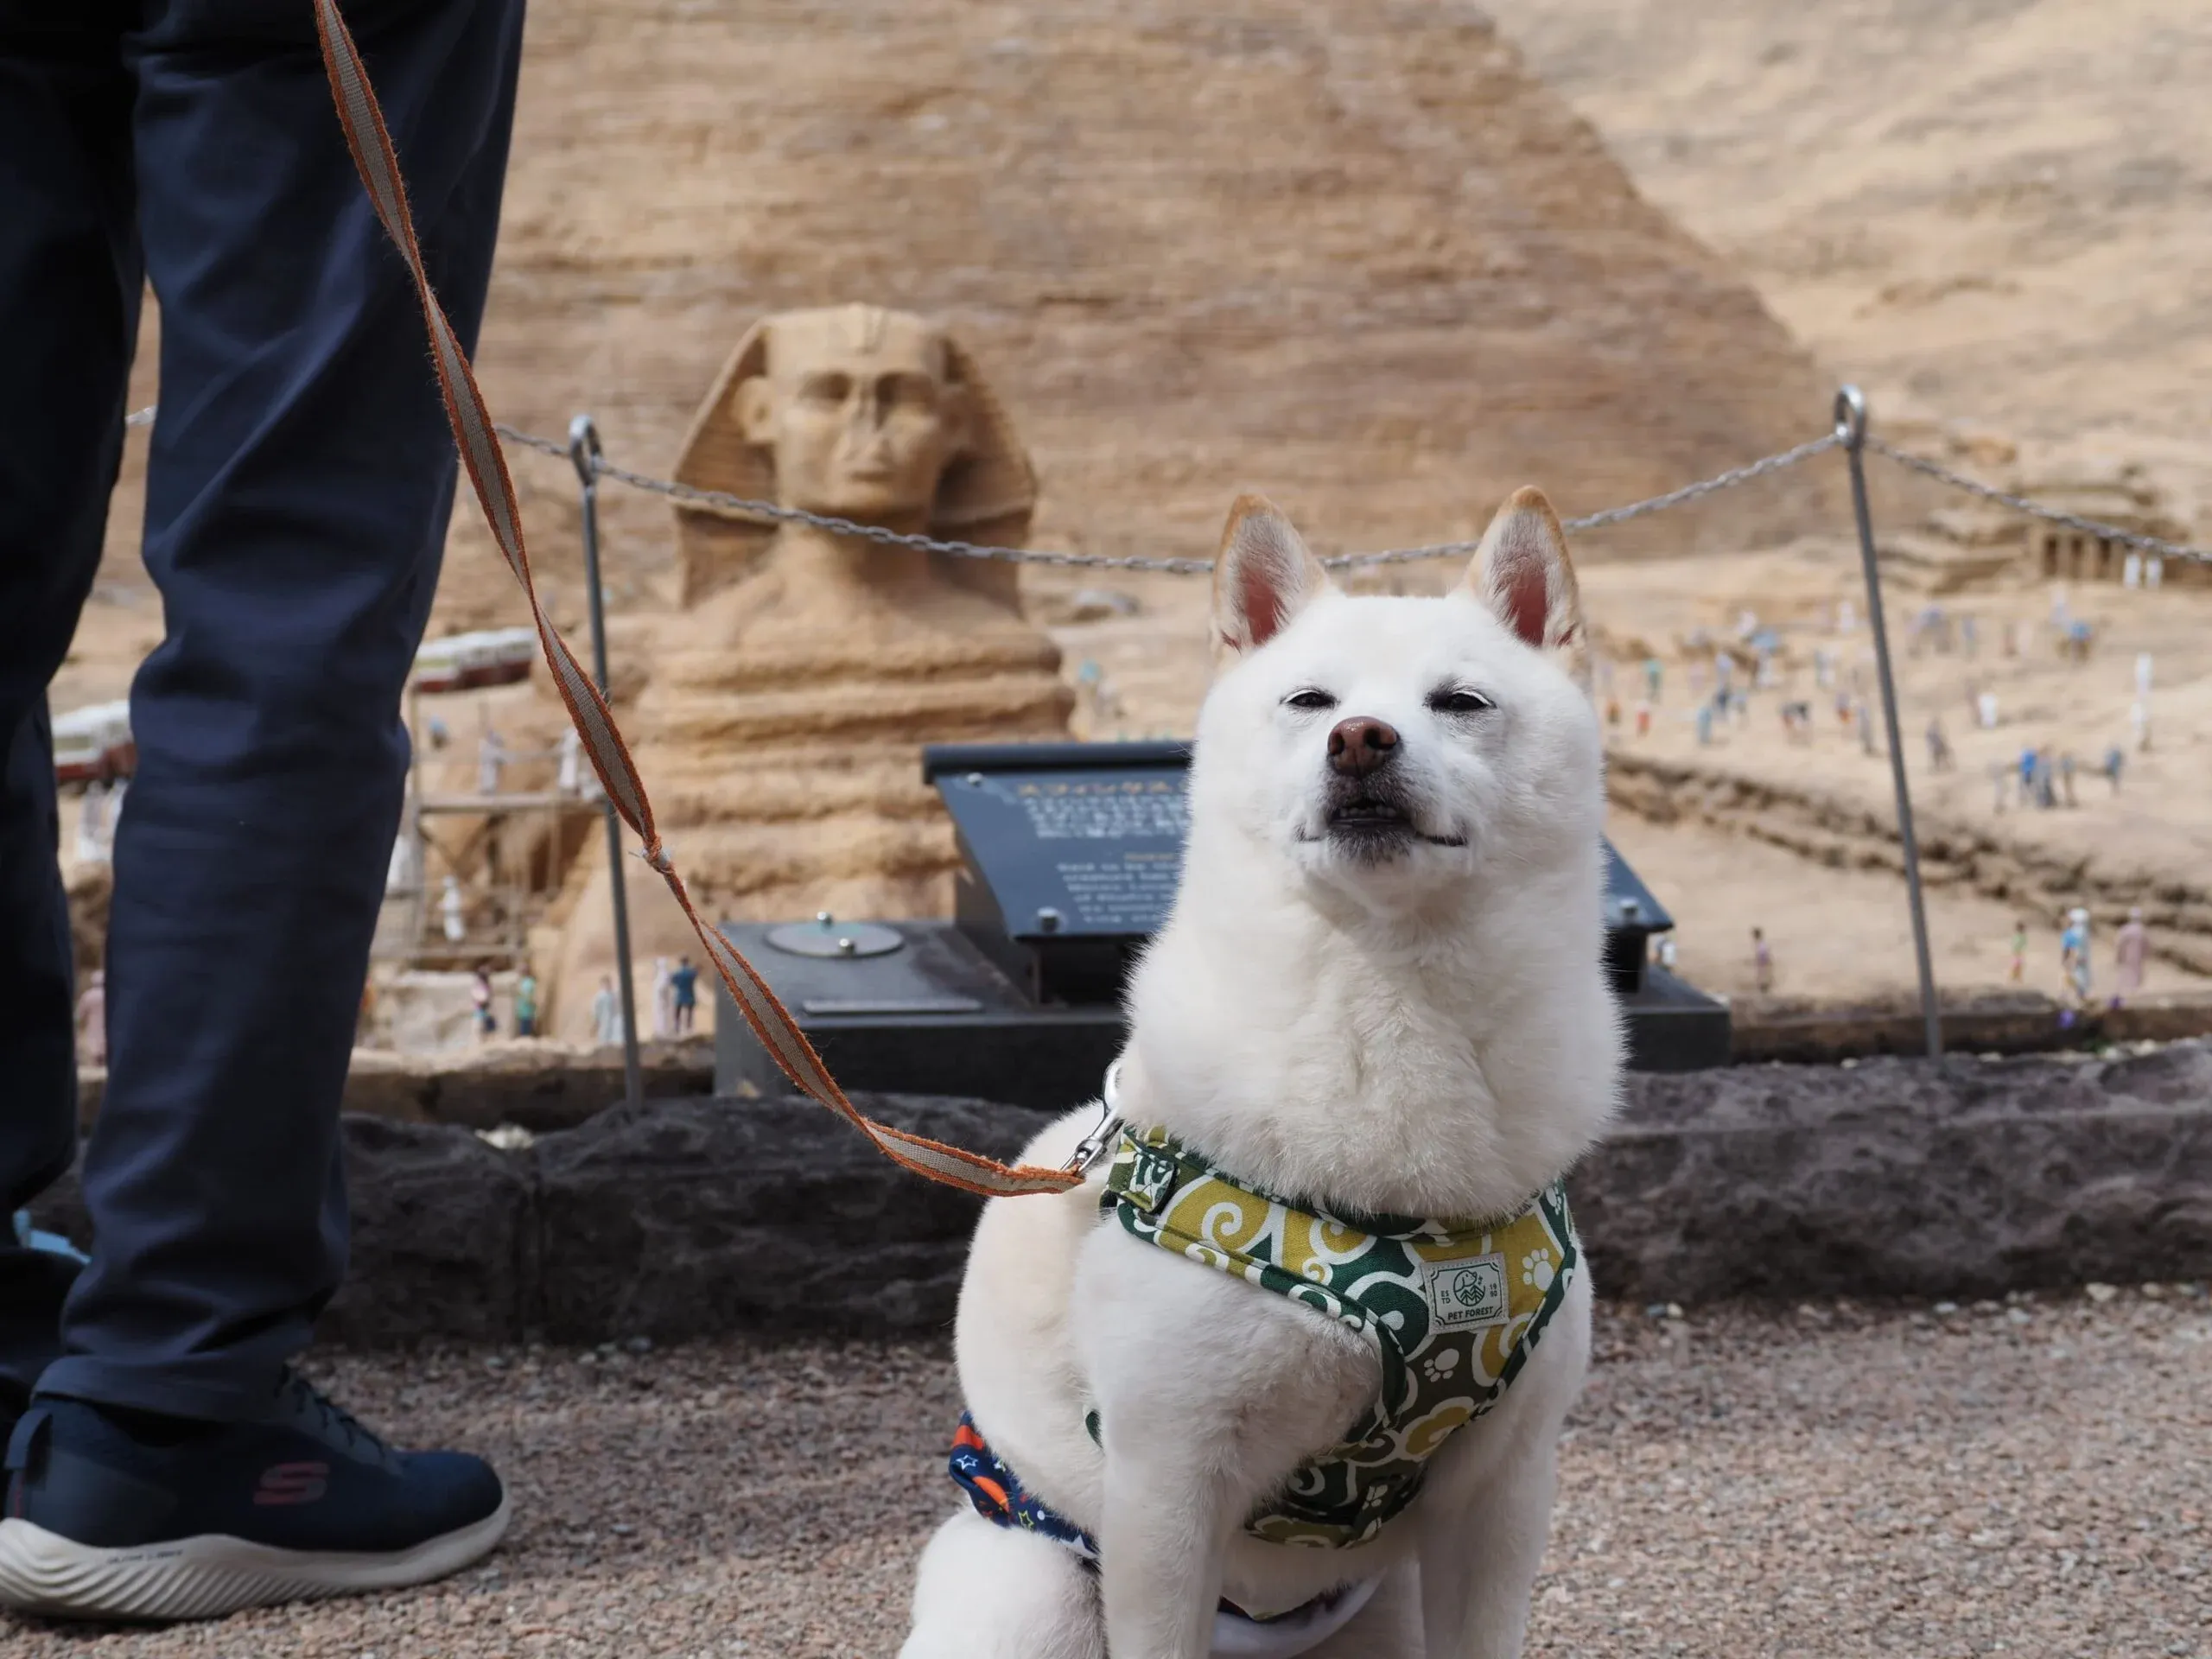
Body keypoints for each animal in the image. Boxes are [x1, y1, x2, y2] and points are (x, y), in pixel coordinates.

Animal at [898, 486, 1628, 1654]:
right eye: (1309, 699)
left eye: (1461, 702)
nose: (1361, 739)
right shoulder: (1168, 1484)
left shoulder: (1504, 1489)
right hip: (1034, 1596)